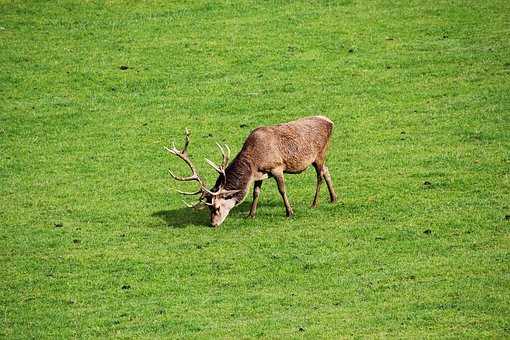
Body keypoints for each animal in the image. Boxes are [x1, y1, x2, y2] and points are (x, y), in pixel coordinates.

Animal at [165, 115, 336, 227]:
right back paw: (334, 198)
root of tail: (330, 122)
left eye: (216, 207)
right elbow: (256, 193)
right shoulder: (260, 174)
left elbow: (282, 190)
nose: (213, 224)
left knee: (320, 176)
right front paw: (250, 214)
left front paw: (289, 212)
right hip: (319, 157)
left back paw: (314, 203)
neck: (255, 161)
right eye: (208, 207)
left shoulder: (277, 167)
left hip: (319, 154)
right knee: (327, 170)